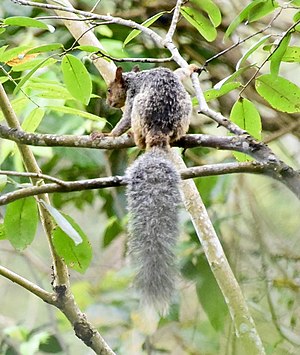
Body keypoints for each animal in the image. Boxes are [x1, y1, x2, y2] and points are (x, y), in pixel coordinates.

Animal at [106, 64, 196, 314]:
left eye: (109, 90)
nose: (109, 103)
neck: (134, 77)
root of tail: (159, 133)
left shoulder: (131, 95)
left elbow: (124, 119)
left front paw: (107, 134)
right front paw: (191, 68)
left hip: (139, 111)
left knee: (134, 126)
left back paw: (134, 138)